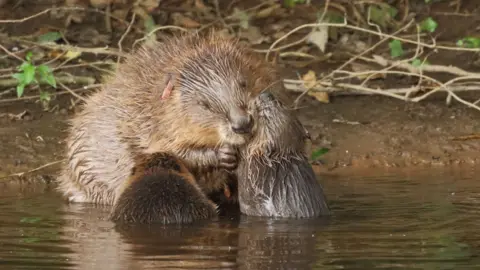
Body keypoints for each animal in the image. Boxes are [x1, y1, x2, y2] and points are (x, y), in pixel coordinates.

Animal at [57, 31, 278, 210]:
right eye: (204, 104)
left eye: (243, 83)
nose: (242, 124)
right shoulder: (152, 125)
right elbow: (172, 152)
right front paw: (224, 155)